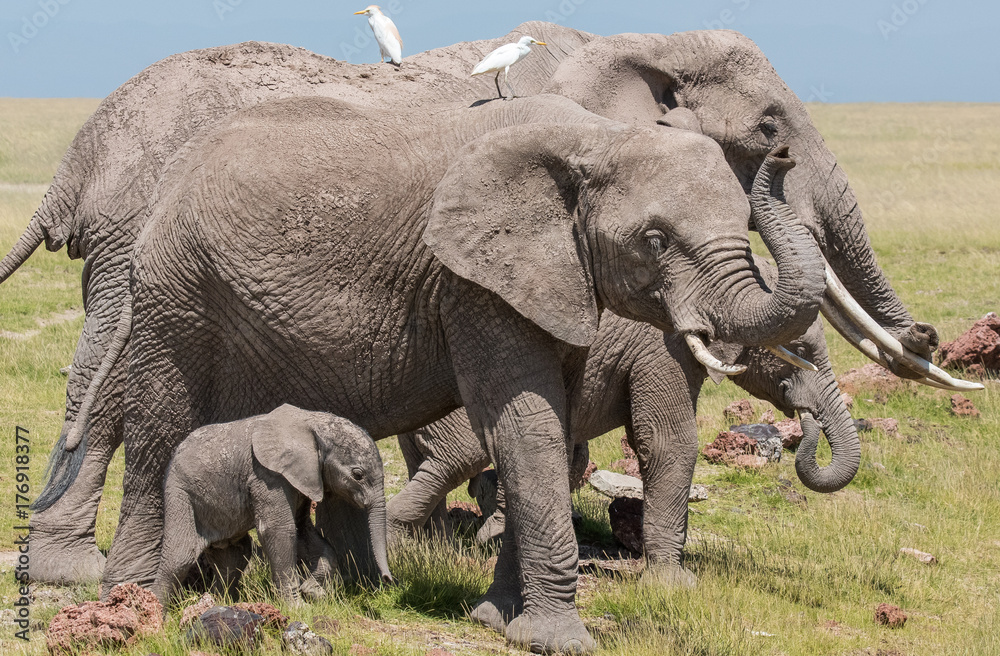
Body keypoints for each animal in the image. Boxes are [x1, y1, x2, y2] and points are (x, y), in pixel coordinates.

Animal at [152, 404, 390, 604]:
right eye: (357, 474)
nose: (387, 580)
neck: (311, 423)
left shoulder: (302, 480)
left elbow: (304, 533)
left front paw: (312, 591)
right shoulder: (267, 476)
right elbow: (280, 531)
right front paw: (298, 607)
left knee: (234, 556)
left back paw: (221, 603)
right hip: (179, 491)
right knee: (180, 557)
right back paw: (157, 620)